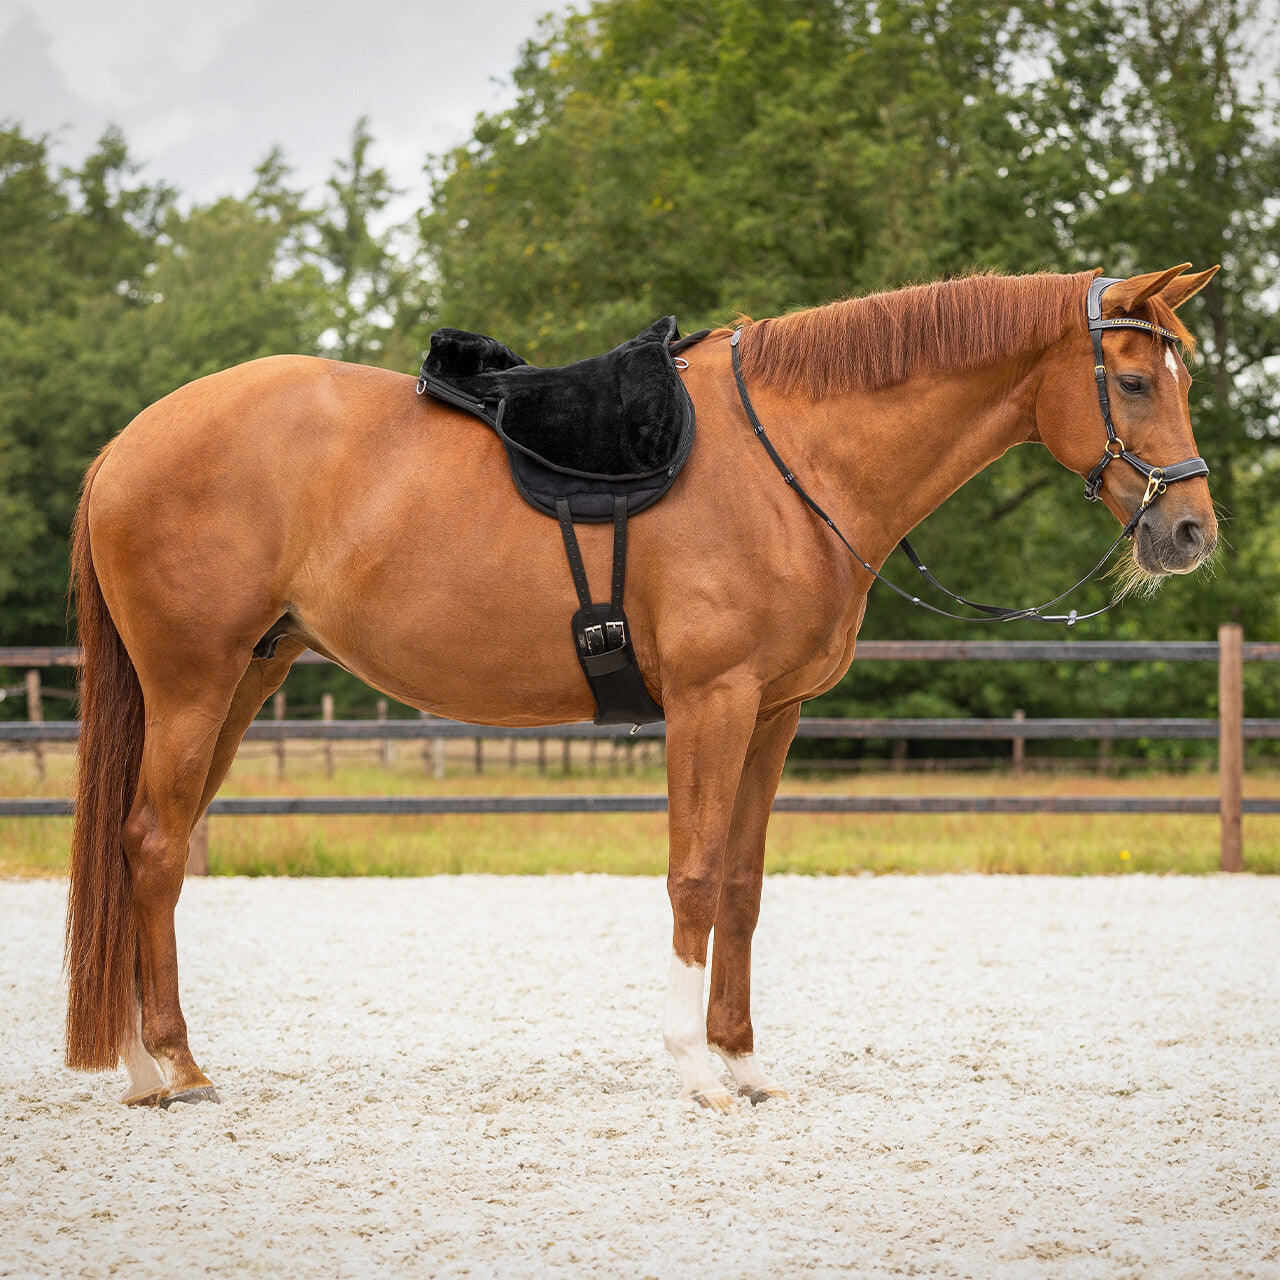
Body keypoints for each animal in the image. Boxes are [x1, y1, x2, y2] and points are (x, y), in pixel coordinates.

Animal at [64, 263, 1218, 1112]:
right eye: (1129, 380)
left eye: (1182, 380)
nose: (1189, 531)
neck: (793, 460)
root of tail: (126, 443)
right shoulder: (712, 701)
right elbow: (694, 877)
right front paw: (694, 1070)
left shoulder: (774, 712)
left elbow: (744, 887)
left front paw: (744, 1063)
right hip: (193, 683)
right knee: (154, 847)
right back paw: (174, 1066)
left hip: (245, 678)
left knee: (146, 849)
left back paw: (143, 1065)